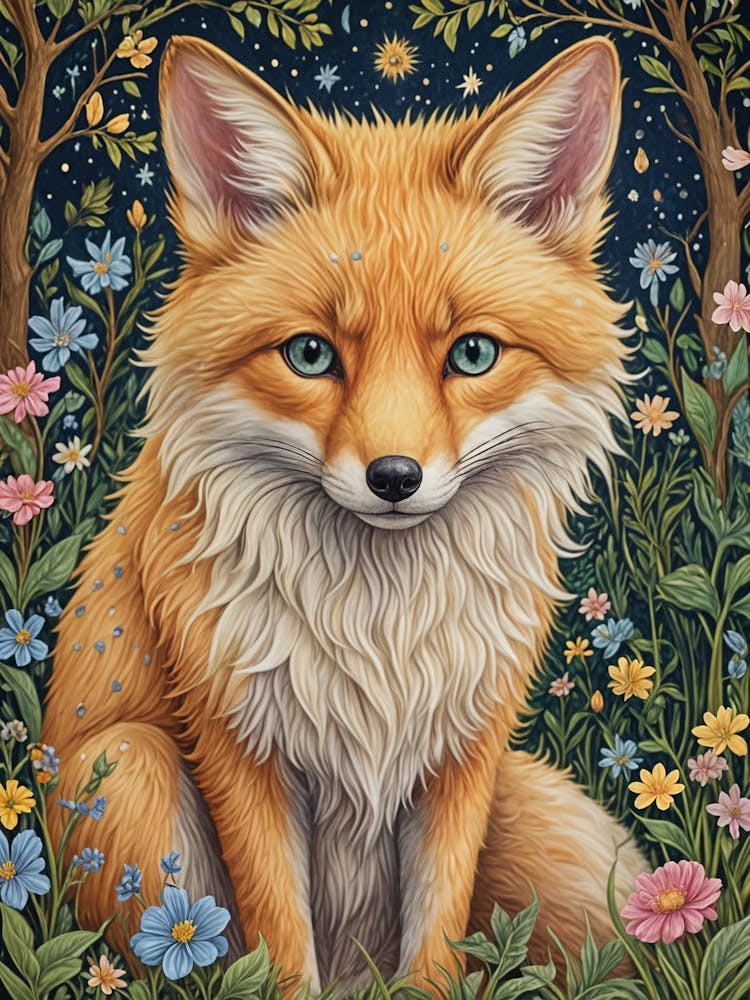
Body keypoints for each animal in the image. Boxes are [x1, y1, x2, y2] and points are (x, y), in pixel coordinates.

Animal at [44, 34, 645, 991]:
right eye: (310, 355)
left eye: (473, 354)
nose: (394, 476)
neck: (377, 629)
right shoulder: (241, 747)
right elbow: (281, 948)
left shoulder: (462, 754)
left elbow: (437, 941)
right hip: (132, 770)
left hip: (557, 840)